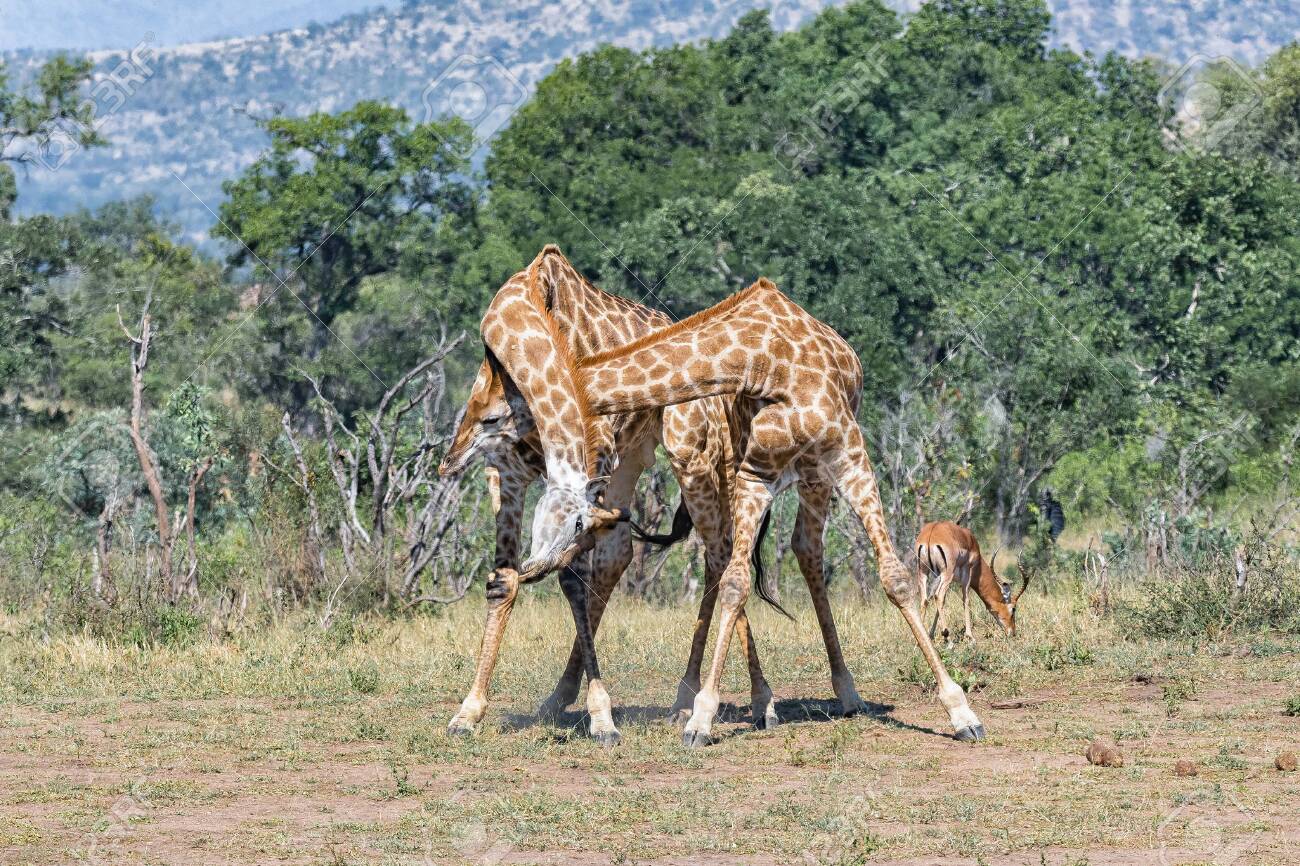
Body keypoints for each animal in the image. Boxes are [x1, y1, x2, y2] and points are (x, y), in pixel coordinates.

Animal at [442, 247, 870, 743]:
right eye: (475, 414)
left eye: (492, 419)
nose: (449, 461)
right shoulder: (512, 477)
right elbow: (515, 581)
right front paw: (469, 712)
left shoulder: (592, 461)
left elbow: (572, 576)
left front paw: (603, 717)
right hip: (643, 465)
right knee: (632, 559)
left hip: (698, 458)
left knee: (723, 554)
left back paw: (750, 701)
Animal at [521, 276, 985, 746]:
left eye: (574, 521)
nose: (534, 566)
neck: (763, 362)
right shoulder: (755, 472)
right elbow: (735, 582)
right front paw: (701, 718)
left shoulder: (851, 458)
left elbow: (896, 579)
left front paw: (961, 711)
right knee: (739, 554)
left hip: (811, 475)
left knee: (805, 549)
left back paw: (846, 692)